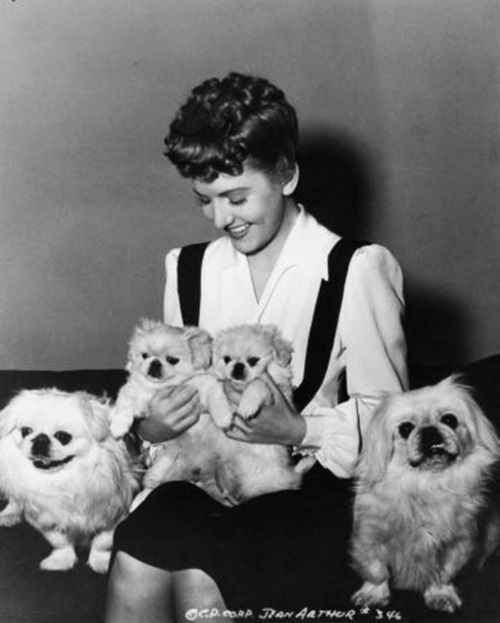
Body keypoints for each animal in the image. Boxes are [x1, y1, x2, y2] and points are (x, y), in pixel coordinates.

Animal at [0, 390, 139, 576]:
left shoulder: (115, 515)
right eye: (25, 431)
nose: (40, 439)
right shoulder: (45, 518)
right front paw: (62, 561)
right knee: (15, 499)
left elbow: (102, 542)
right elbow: (60, 542)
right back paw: (9, 514)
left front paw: (100, 562)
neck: (64, 481)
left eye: (63, 437)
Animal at [350, 376, 500, 616]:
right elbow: (375, 569)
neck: (427, 485)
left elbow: (444, 573)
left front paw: (440, 594)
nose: (429, 430)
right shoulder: (369, 537)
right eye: (405, 428)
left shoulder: (458, 543)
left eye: (449, 419)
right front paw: (374, 593)